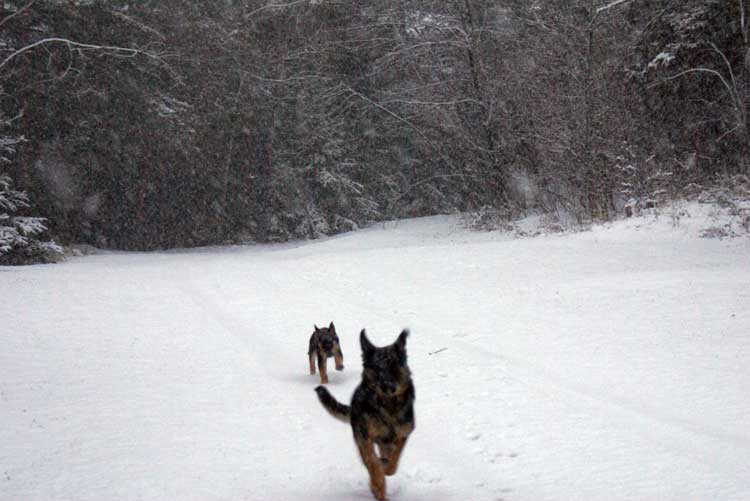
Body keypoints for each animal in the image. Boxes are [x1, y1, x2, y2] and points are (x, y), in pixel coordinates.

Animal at [314, 328, 414, 500]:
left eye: (394, 366)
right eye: (377, 368)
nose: (388, 387)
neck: (388, 405)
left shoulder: (403, 433)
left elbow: (394, 459)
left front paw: (387, 467)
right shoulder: (364, 437)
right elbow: (373, 463)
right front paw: (378, 484)